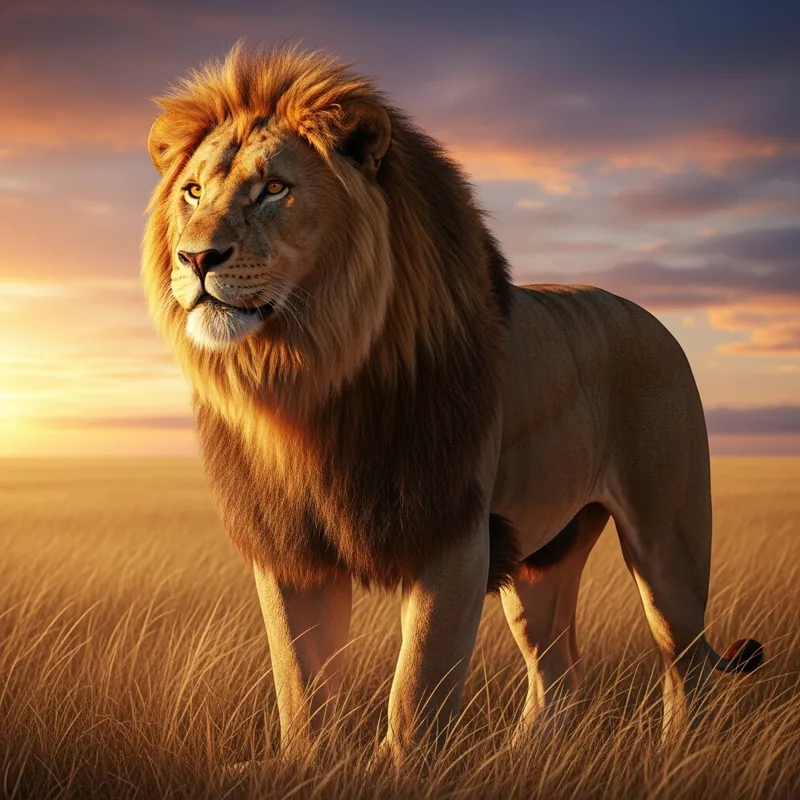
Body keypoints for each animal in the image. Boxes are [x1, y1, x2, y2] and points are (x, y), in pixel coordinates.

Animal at [142, 43, 763, 763]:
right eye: (193, 191)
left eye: (274, 189)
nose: (195, 257)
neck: (310, 378)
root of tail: (651, 318)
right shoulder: (289, 548)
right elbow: (301, 689)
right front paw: (306, 766)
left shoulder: (455, 533)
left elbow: (416, 691)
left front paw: (400, 769)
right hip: (541, 562)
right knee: (557, 673)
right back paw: (524, 758)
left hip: (668, 544)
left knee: (685, 664)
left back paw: (675, 756)